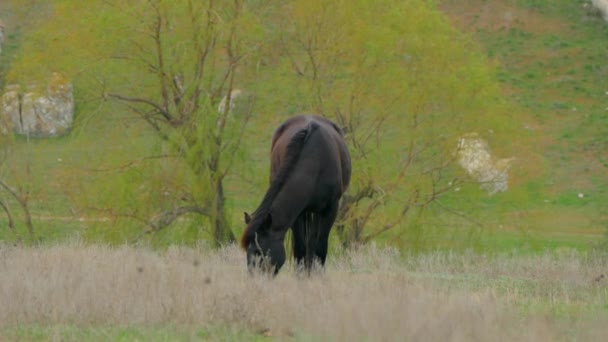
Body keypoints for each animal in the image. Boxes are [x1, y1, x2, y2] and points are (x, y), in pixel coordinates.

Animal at [239, 115, 350, 276]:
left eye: (261, 252)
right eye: (248, 252)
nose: (255, 278)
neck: (315, 161)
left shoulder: (330, 209)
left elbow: (320, 246)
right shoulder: (298, 213)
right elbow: (300, 247)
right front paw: (301, 276)